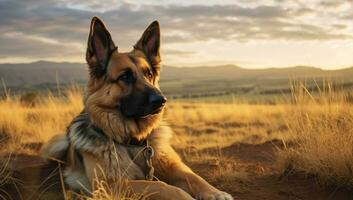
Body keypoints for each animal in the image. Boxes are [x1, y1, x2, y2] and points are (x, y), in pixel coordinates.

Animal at [41, 17, 232, 200]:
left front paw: (216, 193)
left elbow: (193, 177)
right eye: (125, 76)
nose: (161, 101)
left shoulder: (173, 166)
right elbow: (163, 186)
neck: (133, 142)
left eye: (149, 74)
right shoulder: (111, 185)